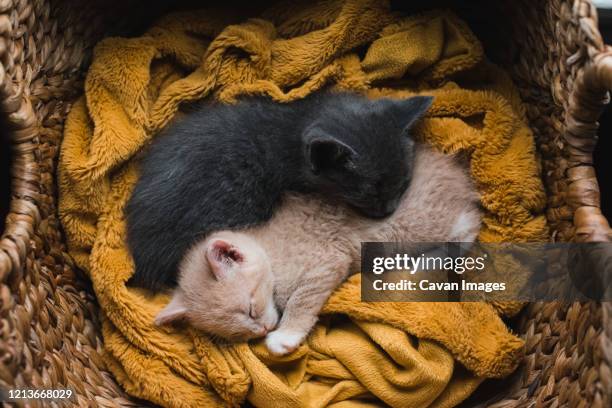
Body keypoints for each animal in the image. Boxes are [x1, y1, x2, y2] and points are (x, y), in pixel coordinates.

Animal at [155, 146, 480, 354]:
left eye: (250, 309)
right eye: (235, 332)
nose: (261, 332)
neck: (270, 250)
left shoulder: (327, 261)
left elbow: (302, 301)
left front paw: (284, 337)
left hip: (421, 225)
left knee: (469, 226)